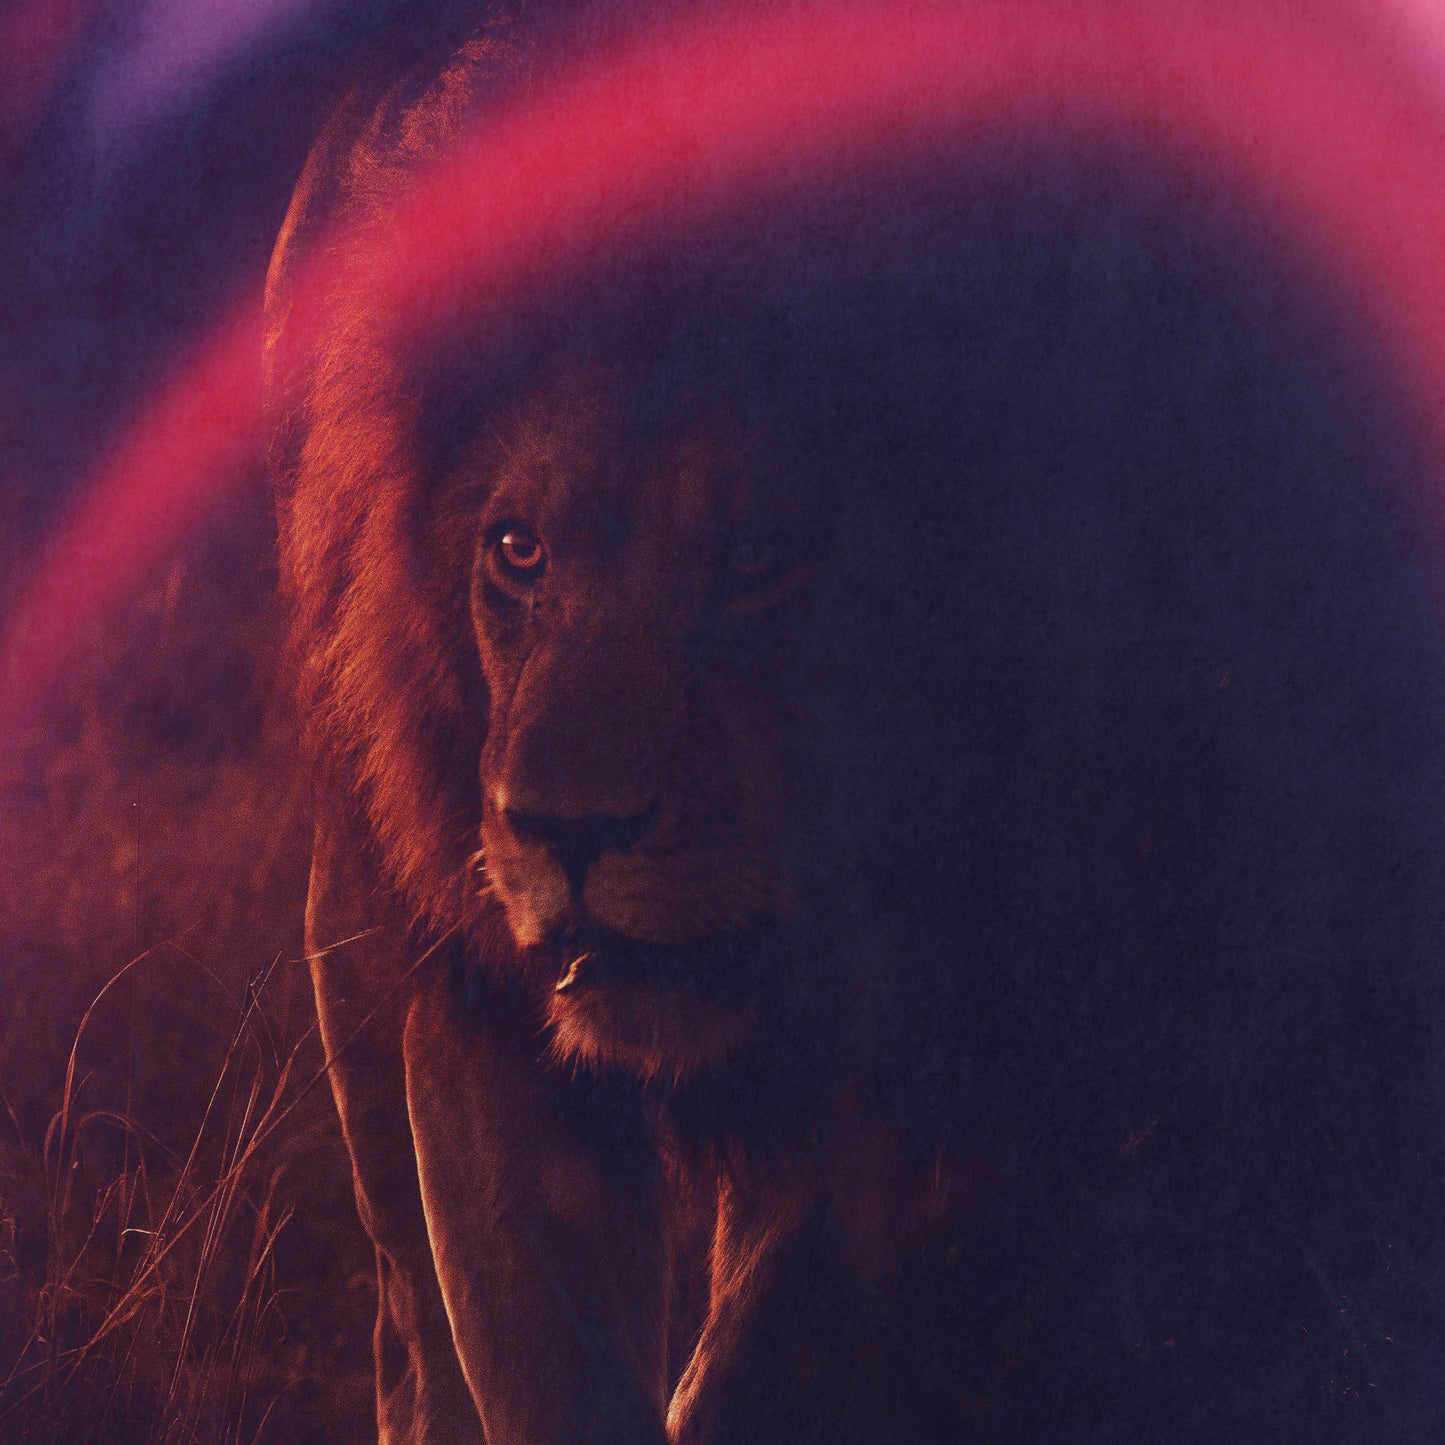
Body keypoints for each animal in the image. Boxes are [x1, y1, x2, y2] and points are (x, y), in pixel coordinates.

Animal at [265, 14, 1445, 1444]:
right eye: (518, 549)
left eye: (754, 556)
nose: (561, 829)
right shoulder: (482, 1016)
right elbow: (538, 1362)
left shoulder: (963, 1070)